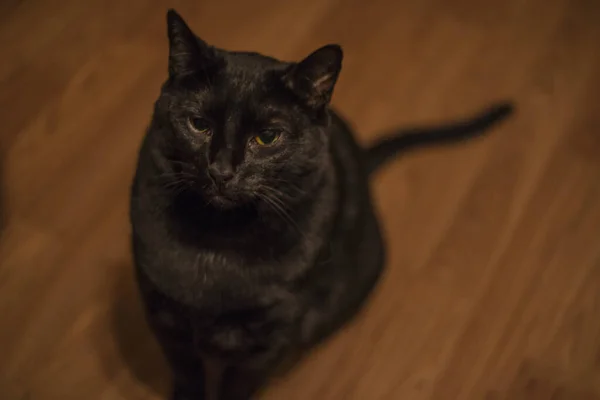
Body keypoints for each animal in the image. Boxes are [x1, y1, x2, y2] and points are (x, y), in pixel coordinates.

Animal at [129, 9, 512, 400]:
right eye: (198, 124)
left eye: (267, 137)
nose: (221, 170)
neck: (217, 246)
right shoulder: (165, 320)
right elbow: (187, 376)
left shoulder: (269, 339)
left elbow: (237, 387)